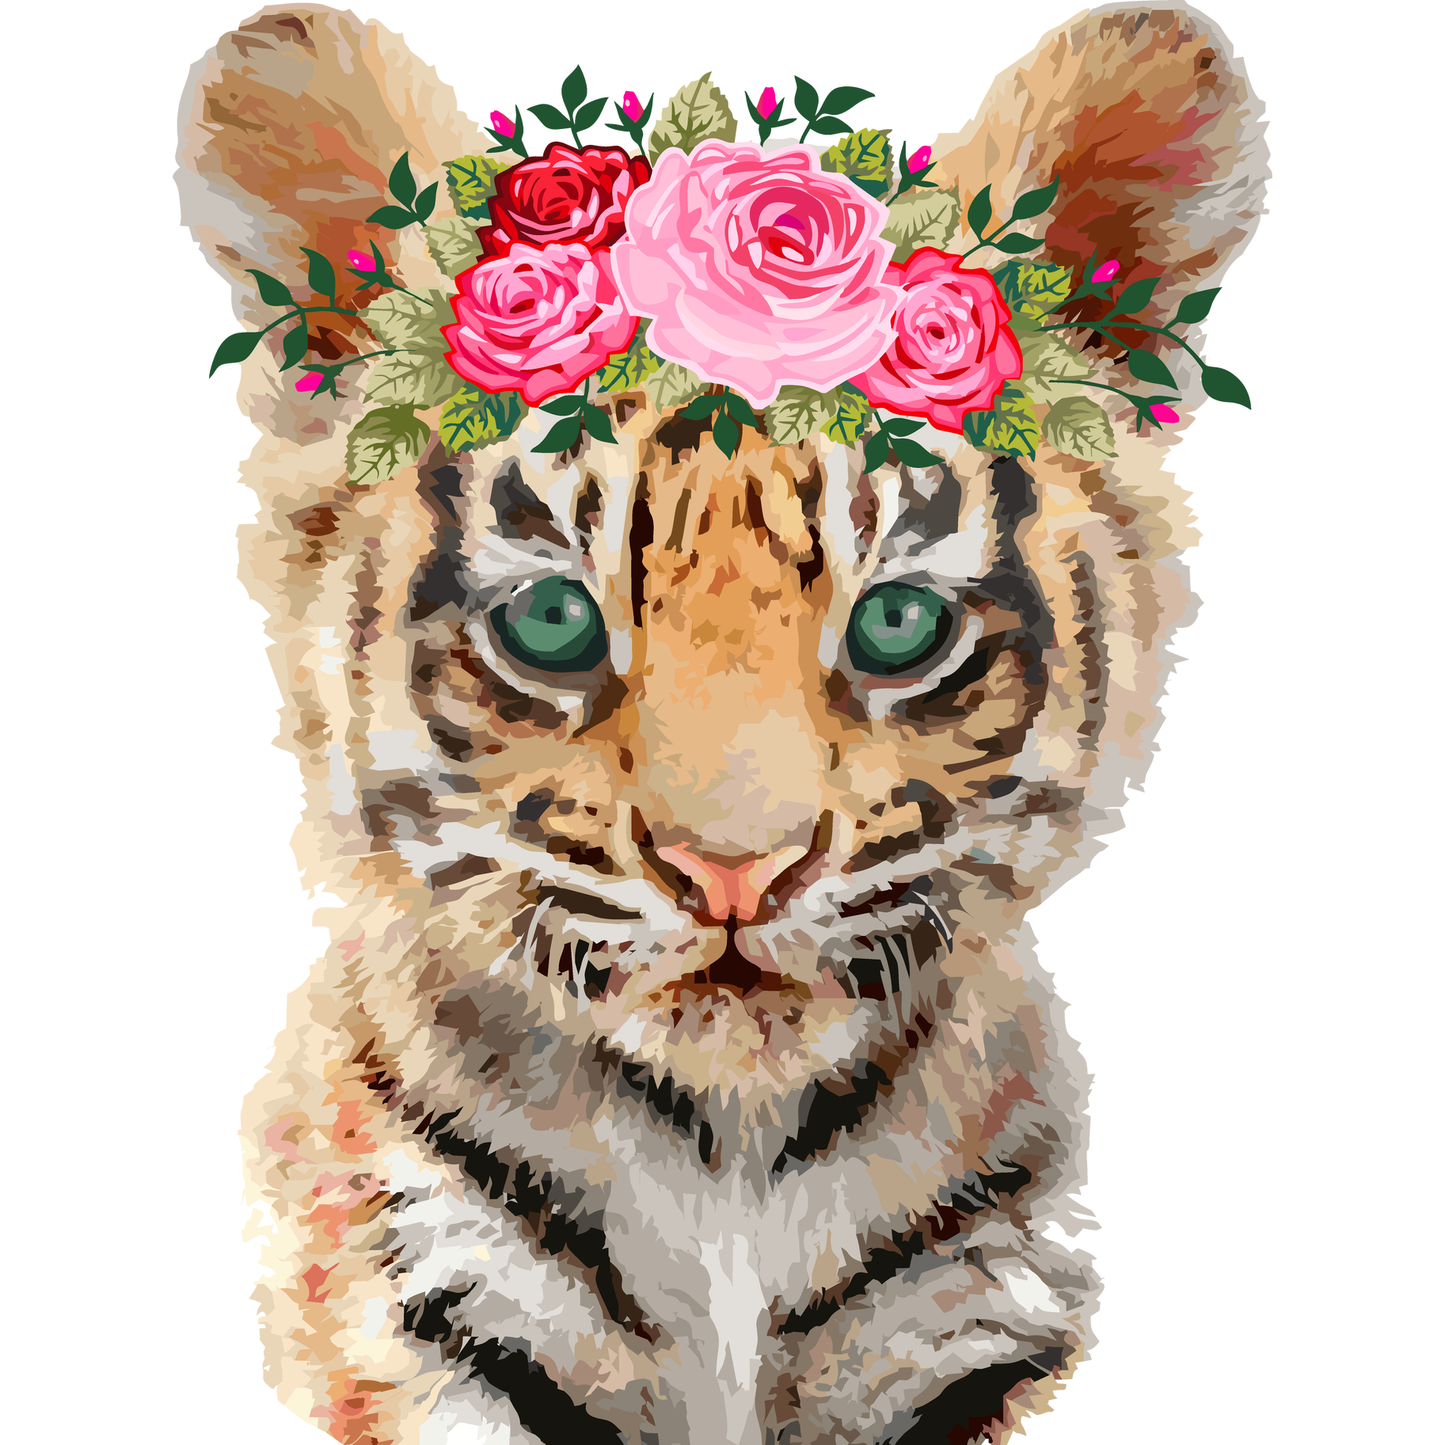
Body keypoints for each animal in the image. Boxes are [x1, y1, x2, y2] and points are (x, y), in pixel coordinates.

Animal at [176, 6, 1267, 1442]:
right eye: (552, 621)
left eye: (899, 622)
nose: (733, 872)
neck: (728, 1162)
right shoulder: (431, 1296)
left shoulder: (968, 1319)